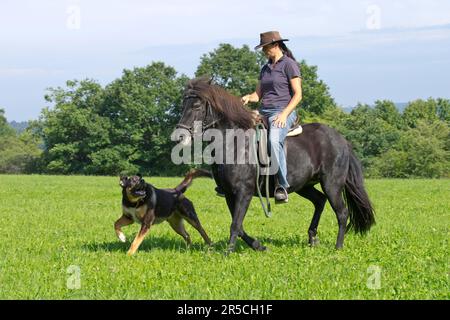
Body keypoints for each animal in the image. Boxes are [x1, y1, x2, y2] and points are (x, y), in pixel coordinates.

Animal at [176, 77, 376, 252]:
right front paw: (259, 246)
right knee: (319, 201)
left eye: (196, 106)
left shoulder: (244, 191)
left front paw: (228, 252)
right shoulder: (229, 193)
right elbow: (239, 226)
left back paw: (338, 247)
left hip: (332, 184)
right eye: (182, 105)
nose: (180, 136)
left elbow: (235, 225)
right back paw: (312, 238)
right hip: (304, 185)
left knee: (342, 213)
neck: (234, 142)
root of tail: (342, 139)